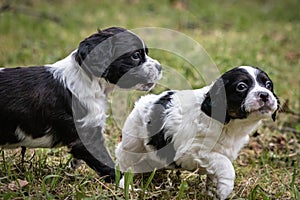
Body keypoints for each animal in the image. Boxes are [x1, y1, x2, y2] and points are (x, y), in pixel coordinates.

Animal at [0, 26, 162, 183]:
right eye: (136, 55)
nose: (160, 67)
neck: (89, 81)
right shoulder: (86, 133)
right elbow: (105, 163)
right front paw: (126, 185)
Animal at [115, 66, 278, 198]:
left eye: (268, 85)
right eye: (241, 86)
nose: (265, 95)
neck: (229, 125)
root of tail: (144, 100)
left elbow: (215, 172)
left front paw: (213, 192)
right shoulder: (194, 151)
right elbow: (225, 165)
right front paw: (225, 189)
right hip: (133, 143)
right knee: (123, 160)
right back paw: (125, 185)